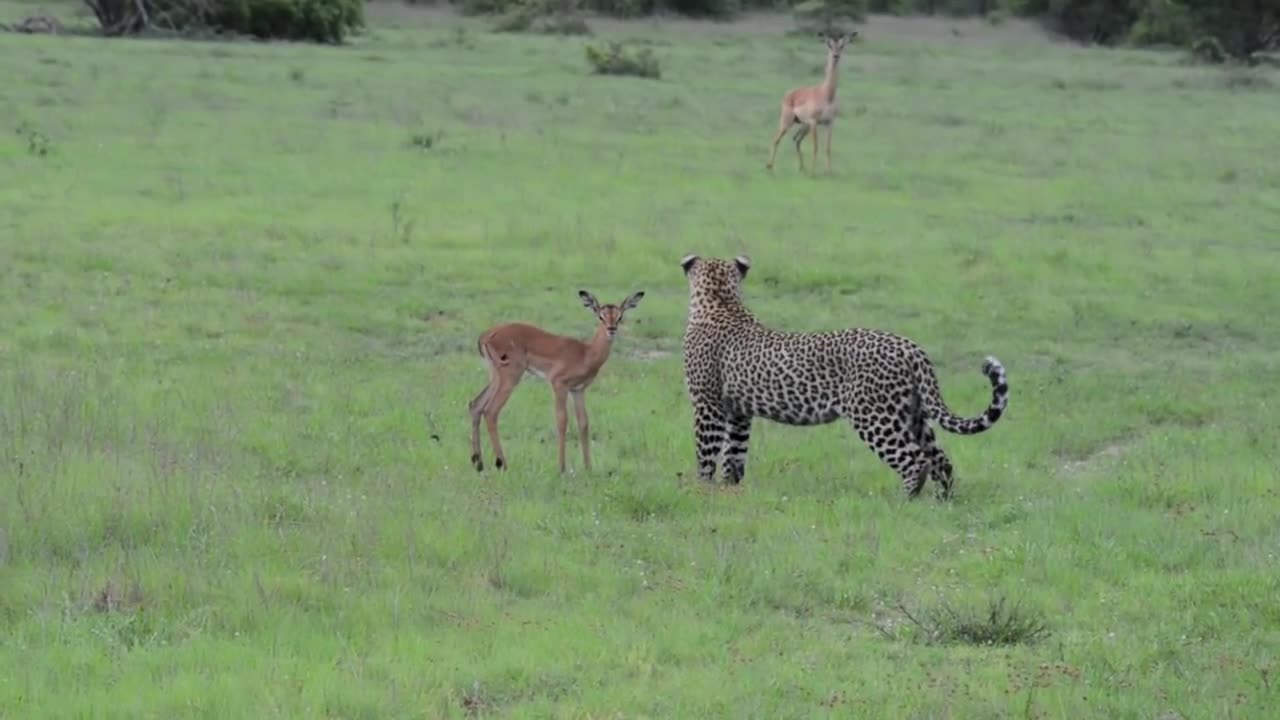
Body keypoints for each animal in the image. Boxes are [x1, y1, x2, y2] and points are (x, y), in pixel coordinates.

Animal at [471, 288, 645, 474]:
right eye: (600, 316)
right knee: (491, 411)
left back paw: (478, 463)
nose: (611, 329)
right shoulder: (559, 384)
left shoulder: (578, 390)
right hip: (510, 377)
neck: (586, 353)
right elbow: (562, 420)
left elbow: (584, 423)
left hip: (496, 376)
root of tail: (486, 335)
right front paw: (562, 467)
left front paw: (588, 467)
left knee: (476, 405)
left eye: (619, 316)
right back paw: (502, 464)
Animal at [675, 253, 1013, 499]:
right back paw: (943, 501)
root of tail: (911, 347)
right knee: (941, 459)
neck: (720, 301)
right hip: (913, 414)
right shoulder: (739, 413)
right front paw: (729, 490)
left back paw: (905, 501)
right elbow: (734, 455)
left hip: (874, 415)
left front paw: (702, 490)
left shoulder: (708, 405)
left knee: (916, 461)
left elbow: (706, 453)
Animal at [762, 31, 855, 175]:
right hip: (788, 122)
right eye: (829, 45)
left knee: (796, 140)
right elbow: (815, 147)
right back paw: (770, 167)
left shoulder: (829, 123)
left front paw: (829, 172)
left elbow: (828, 148)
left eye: (842, 46)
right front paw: (813, 172)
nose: (836, 56)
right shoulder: (814, 122)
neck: (826, 94)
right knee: (776, 140)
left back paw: (802, 168)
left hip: (803, 125)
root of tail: (789, 94)